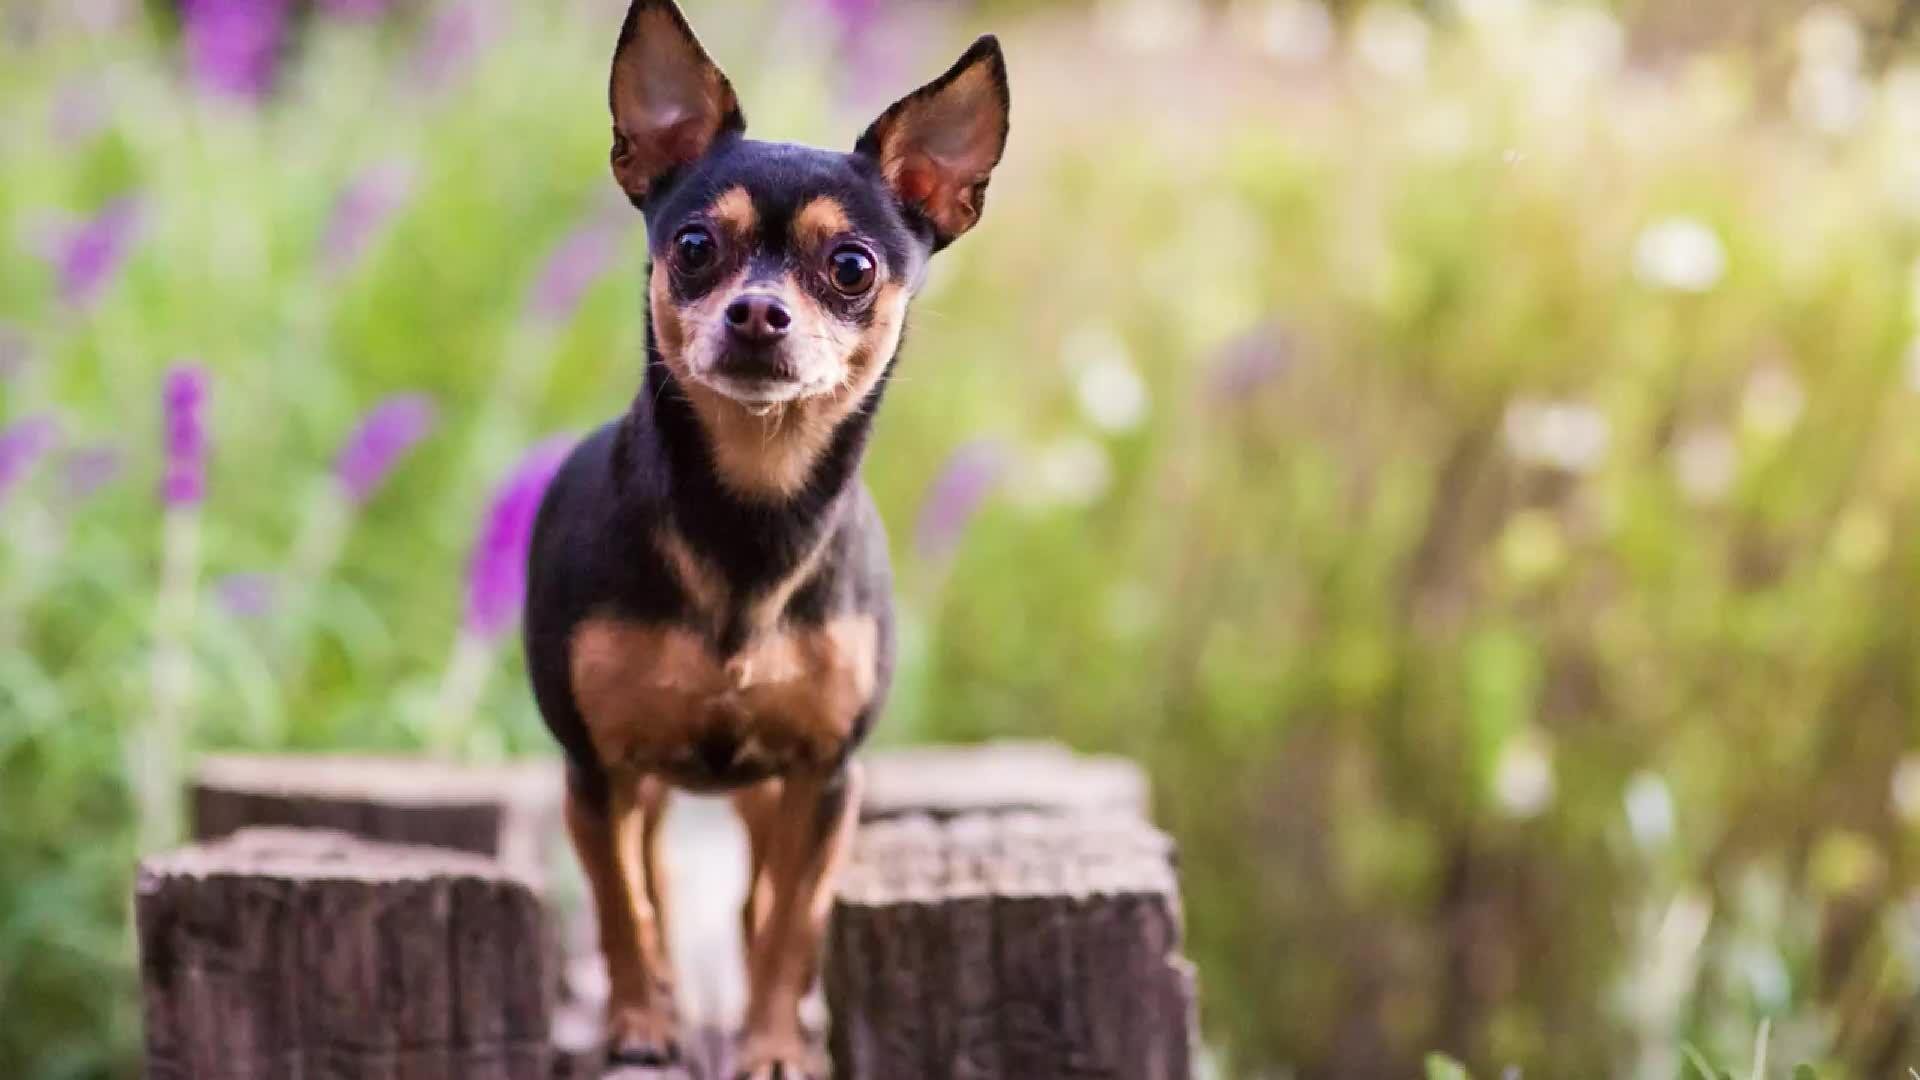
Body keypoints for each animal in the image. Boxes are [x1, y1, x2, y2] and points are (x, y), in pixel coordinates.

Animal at [518, 4, 1013, 1068]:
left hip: (766, 788)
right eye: (696, 246)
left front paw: (775, 1041)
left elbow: (791, 920)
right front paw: (639, 1022)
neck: (754, 513)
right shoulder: (596, 767)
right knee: (653, 880)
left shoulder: (824, 777)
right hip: (644, 782)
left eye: (852, 267)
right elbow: (623, 906)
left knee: (756, 896)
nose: (757, 310)